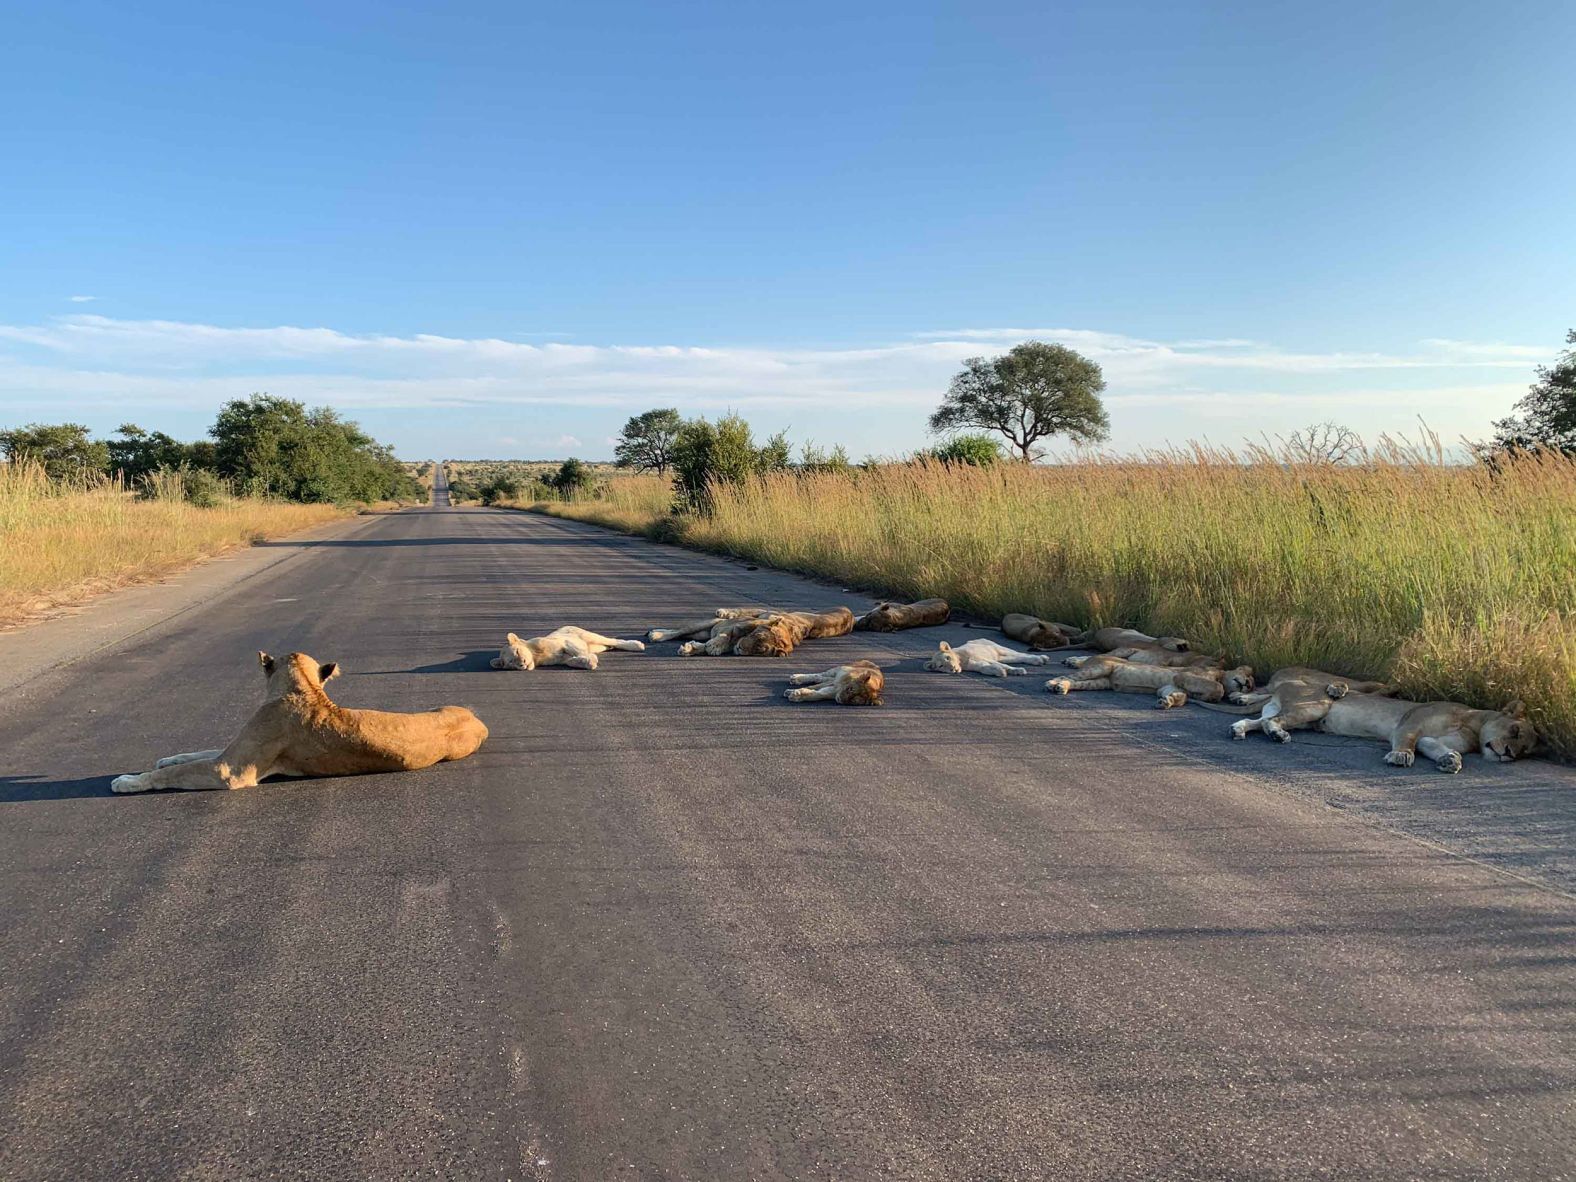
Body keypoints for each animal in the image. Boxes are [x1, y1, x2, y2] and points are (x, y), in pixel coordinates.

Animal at [111, 652, 488, 800]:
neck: (304, 687)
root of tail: (479, 721)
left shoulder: (231, 770)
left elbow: (173, 773)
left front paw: (127, 781)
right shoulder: (232, 751)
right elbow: (194, 754)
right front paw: (166, 757)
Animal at [488, 624, 643, 671]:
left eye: (517, 651)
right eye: (511, 662)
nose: (522, 664)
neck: (536, 656)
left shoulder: (564, 641)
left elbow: (576, 650)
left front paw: (590, 659)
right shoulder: (561, 660)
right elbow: (571, 661)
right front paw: (588, 662)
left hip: (588, 636)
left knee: (615, 641)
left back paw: (637, 645)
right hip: (597, 646)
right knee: (607, 645)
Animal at [1046, 658, 1254, 712]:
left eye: (1252, 686)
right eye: (1249, 677)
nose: (1247, 685)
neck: (1220, 674)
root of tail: (1091, 657)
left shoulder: (1169, 687)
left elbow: (1181, 697)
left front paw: (1166, 702)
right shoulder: (1183, 675)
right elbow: (1218, 688)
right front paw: (1211, 695)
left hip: (1100, 682)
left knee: (1076, 682)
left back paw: (1062, 688)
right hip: (1101, 667)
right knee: (1068, 675)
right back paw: (1052, 684)